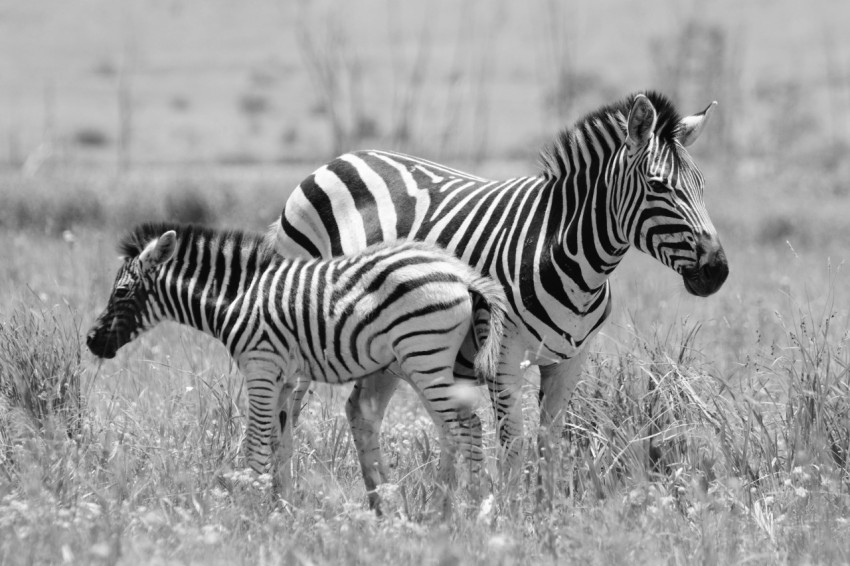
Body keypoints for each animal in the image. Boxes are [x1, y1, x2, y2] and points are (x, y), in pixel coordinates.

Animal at [86, 222, 508, 510]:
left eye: (121, 291)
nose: (91, 340)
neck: (237, 299)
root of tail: (460, 273)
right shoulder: (285, 378)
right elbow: (281, 443)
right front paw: (281, 507)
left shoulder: (260, 367)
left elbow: (256, 442)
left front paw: (248, 509)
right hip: (433, 364)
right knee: (465, 427)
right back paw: (459, 510)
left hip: (424, 357)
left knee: (461, 428)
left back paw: (461, 510)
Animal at [267, 91, 730, 495]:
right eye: (658, 186)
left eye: (703, 185)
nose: (717, 271)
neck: (568, 255)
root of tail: (340, 160)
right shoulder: (502, 359)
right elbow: (513, 449)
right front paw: (511, 517)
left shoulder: (570, 361)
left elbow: (549, 445)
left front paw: (548, 516)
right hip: (299, 327)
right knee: (284, 412)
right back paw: (284, 503)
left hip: (389, 343)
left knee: (362, 411)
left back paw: (383, 505)